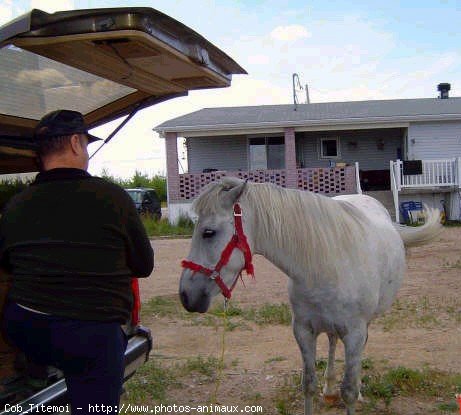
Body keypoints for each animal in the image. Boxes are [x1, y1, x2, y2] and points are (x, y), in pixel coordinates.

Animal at [178, 177, 440, 414]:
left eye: (208, 232)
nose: (185, 295)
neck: (324, 264)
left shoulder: (354, 333)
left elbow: (349, 391)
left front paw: (354, 391)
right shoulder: (303, 330)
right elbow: (308, 385)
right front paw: (322, 388)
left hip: (364, 325)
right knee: (333, 341)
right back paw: (329, 389)